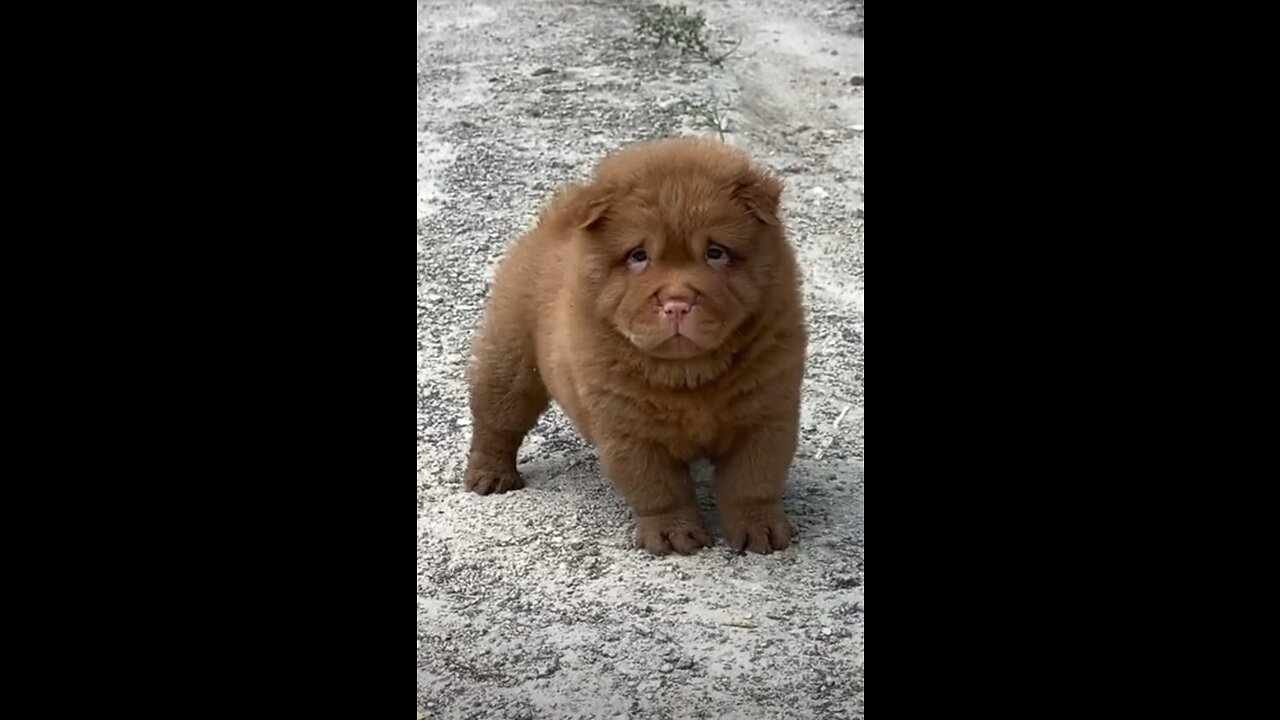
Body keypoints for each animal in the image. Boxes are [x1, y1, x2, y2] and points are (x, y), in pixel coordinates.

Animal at [460, 137, 803, 550]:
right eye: (639, 256)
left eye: (715, 252)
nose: (677, 302)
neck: (689, 373)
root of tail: (554, 223)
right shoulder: (629, 430)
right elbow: (659, 487)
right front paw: (673, 535)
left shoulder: (766, 415)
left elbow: (752, 482)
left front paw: (760, 531)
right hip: (510, 358)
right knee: (497, 420)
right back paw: (490, 477)